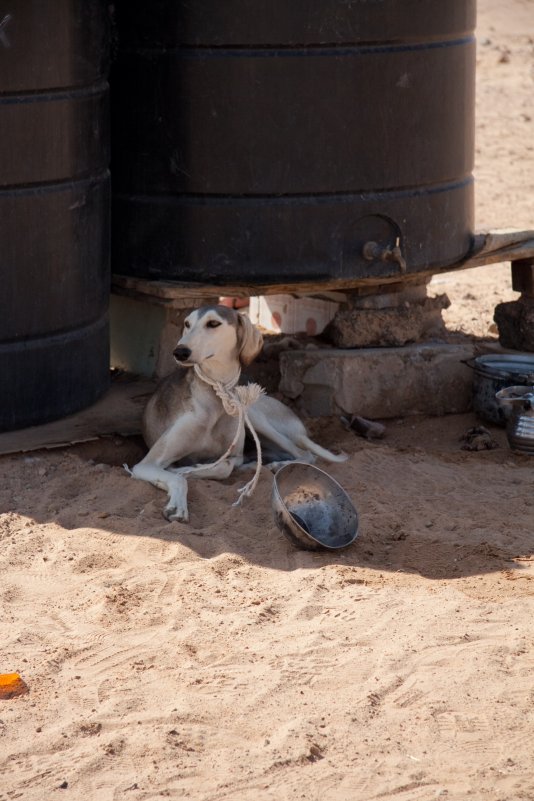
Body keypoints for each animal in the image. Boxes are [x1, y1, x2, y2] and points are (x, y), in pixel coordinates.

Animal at [129, 304, 348, 520]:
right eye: (187, 324)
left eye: (213, 323)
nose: (179, 351)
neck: (216, 398)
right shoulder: (146, 464)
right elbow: (179, 477)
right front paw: (178, 505)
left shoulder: (234, 453)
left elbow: (223, 467)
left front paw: (190, 469)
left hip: (254, 415)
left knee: (305, 454)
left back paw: (277, 466)